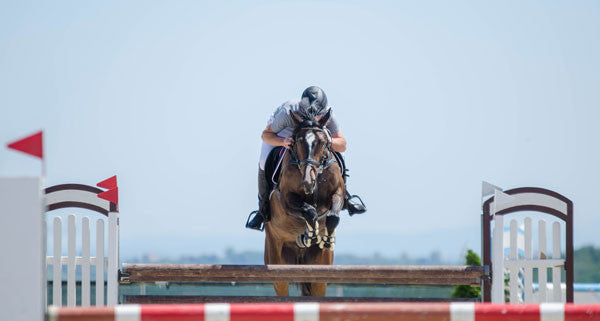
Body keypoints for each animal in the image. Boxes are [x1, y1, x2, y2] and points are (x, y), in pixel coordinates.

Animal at [264, 108, 344, 296]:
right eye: (298, 142)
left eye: (322, 142)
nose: (308, 182)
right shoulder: (286, 199)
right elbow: (309, 212)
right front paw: (309, 234)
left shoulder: (338, 192)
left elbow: (333, 216)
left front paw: (326, 239)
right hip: (277, 262)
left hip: (319, 270)